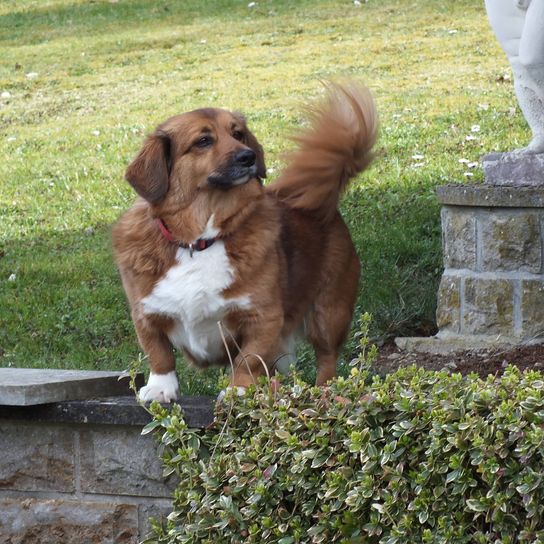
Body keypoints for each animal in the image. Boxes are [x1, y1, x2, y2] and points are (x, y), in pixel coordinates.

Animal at [113, 82, 378, 404]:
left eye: (238, 133)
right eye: (203, 141)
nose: (248, 157)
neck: (199, 240)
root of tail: (318, 203)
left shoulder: (263, 318)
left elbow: (248, 360)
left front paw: (239, 390)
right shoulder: (146, 314)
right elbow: (159, 353)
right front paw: (160, 388)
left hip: (328, 314)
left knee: (326, 360)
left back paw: (325, 391)